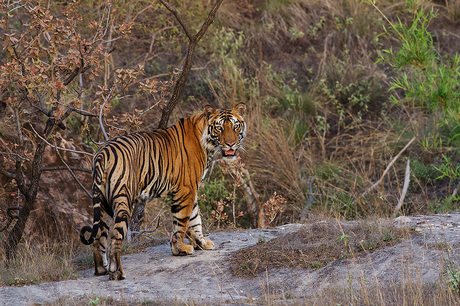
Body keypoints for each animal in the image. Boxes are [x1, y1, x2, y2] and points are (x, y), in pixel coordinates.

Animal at [82, 104, 248, 280]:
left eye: (235, 126)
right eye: (219, 128)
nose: (231, 144)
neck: (207, 144)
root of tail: (102, 153)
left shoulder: (192, 190)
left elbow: (195, 219)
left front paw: (202, 243)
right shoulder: (186, 189)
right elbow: (182, 222)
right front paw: (181, 249)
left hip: (103, 202)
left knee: (99, 236)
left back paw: (101, 270)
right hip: (123, 200)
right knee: (115, 236)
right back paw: (117, 273)